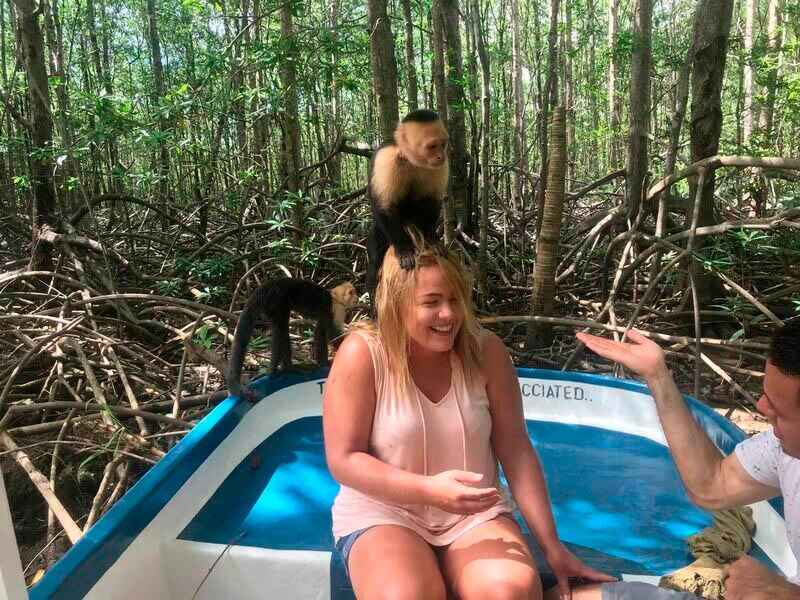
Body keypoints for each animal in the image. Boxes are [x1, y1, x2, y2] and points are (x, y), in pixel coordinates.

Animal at [226, 278, 358, 400]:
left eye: (354, 291)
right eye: (351, 292)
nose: (357, 297)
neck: (334, 299)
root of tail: (264, 288)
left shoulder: (327, 312)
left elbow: (320, 332)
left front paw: (324, 362)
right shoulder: (335, 308)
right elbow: (333, 333)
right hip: (276, 300)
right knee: (281, 327)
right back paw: (278, 371)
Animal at [366, 109, 450, 307]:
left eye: (443, 144)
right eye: (432, 146)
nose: (441, 156)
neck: (412, 160)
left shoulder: (439, 166)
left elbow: (432, 202)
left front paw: (430, 240)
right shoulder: (386, 159)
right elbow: (385, 206)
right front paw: (404, 250)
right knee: (376, 258)